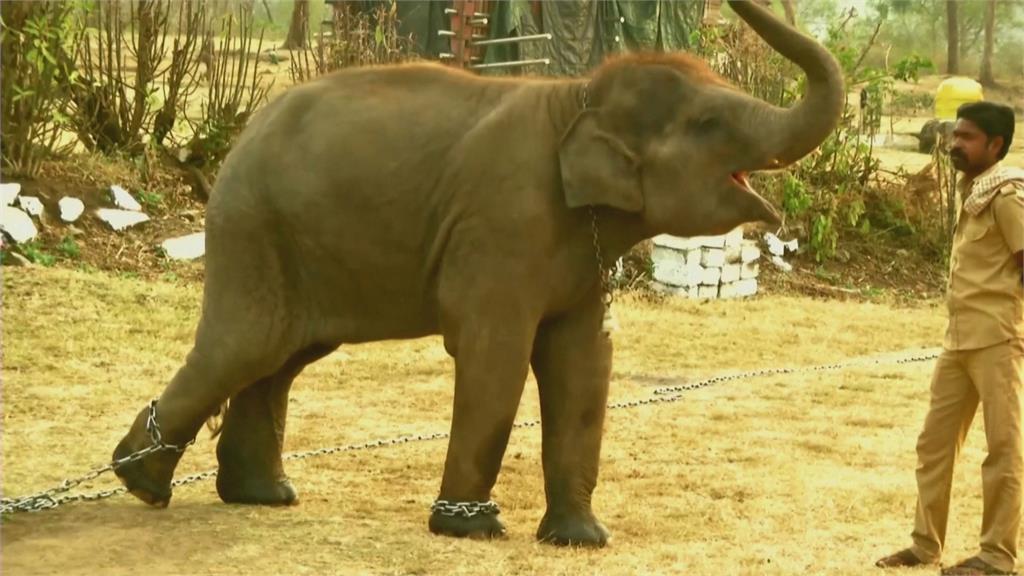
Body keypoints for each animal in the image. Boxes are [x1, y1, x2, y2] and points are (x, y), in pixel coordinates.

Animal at [112, 0, 843, 547]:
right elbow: (496, 354)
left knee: (281, 358)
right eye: (710, 122)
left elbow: (584, 363)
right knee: (246, 345)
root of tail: (238, 139)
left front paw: (582, 539)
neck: (576, 96)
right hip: (254, 229)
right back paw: (141, 484)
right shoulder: (504, 223)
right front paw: (473, 530)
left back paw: (260, 497)